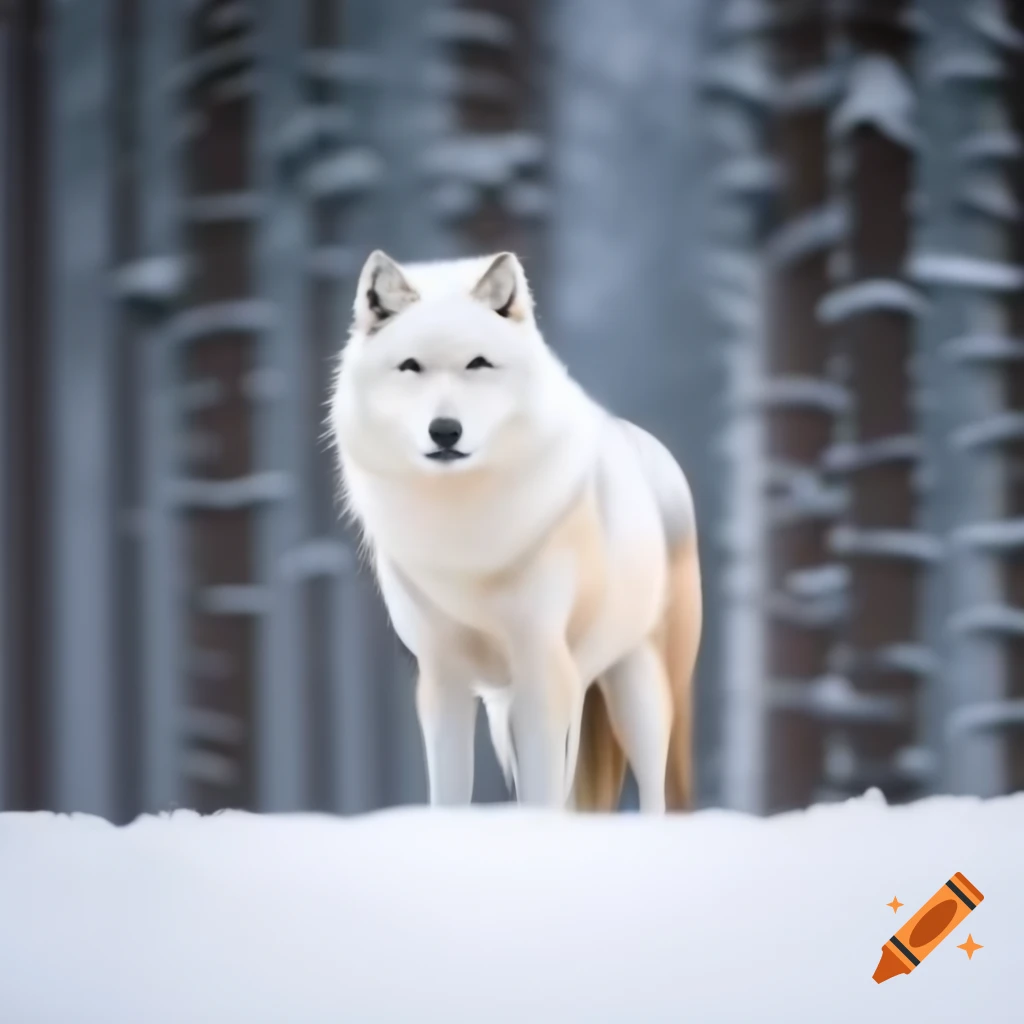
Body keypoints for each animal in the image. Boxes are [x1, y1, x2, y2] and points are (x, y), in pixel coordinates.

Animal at [330, 249, 702, 812]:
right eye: (411, 366)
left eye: (478, 363)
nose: (445, 431)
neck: (466, 531)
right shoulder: (445, 678)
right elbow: (451, 796)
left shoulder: (540, 673)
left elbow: (543, 795)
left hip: (638, 693)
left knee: (656, 797)